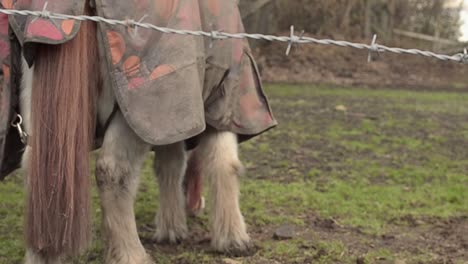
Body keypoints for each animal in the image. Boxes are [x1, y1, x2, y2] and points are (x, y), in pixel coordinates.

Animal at [7, 1, 276, 262]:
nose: (195, 204)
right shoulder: (222, 100)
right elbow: (224, 165)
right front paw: (233, 239)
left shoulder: (172, 118)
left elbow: (170, 165)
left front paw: (172, 228)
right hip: (137, 106)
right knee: (113, 171)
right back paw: (131, 254)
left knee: (38, 169)